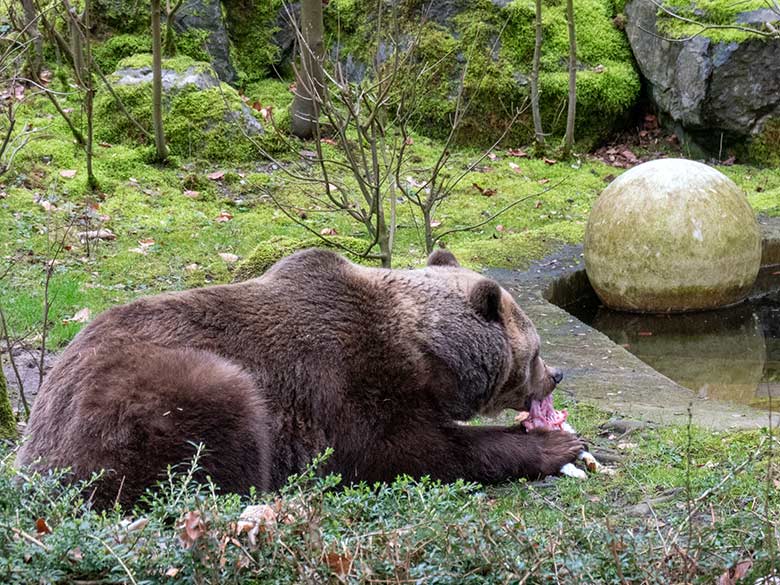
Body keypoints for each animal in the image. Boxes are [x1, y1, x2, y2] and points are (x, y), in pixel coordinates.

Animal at [15, 249, 580, 504]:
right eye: (535, 351)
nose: (556, 373)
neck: (426, 353)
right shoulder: (350, 378)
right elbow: (406, 450)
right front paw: (556, 446)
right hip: (149, 394)